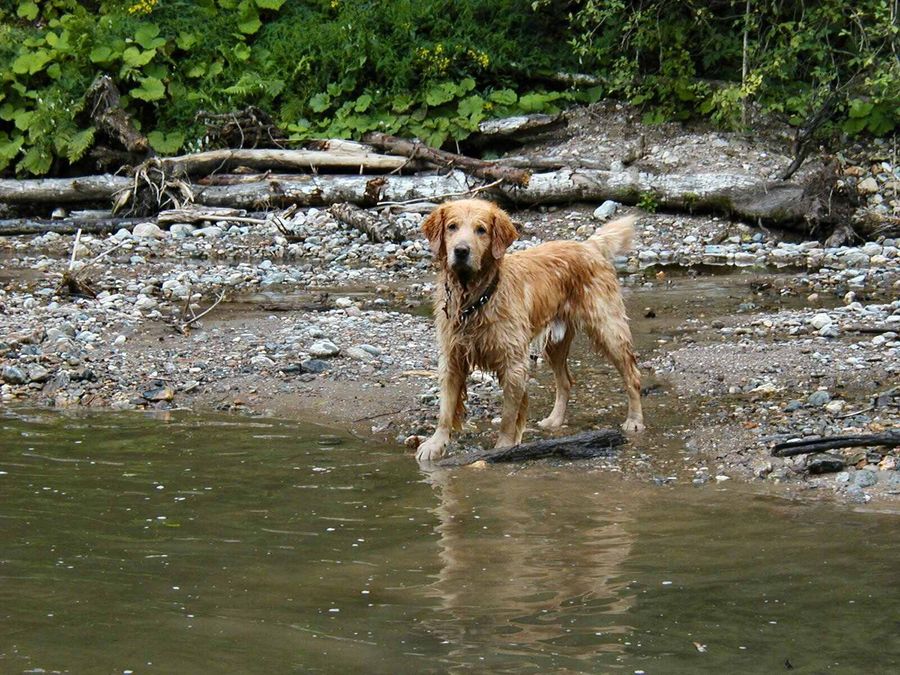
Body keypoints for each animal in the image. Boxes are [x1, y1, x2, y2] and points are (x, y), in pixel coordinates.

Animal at [418, 195, 644, 462]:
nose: (461, 251)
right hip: (555, 342)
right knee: (565, 381)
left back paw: (635, 421)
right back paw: (554, 420)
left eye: (481, 230)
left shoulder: (513, 363)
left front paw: (503, 447)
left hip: (609, 329)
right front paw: (435, 444)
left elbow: (508, 416)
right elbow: (445, 409)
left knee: (632, 376)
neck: (475, 300)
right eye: (452, 227)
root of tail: (589, 246)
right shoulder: (452, 358)